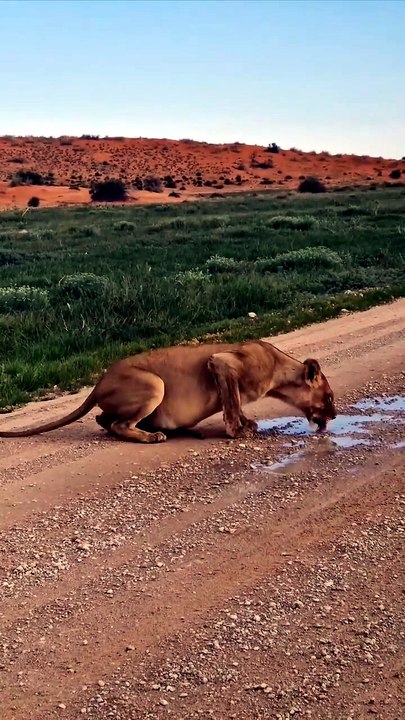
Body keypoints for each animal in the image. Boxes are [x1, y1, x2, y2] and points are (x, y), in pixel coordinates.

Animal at [0, 340, 336, 442]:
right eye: (330, 397)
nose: (335, 414)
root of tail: (98, 384)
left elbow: (237, 404)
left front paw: (247, 423)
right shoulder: (222, 362)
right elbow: (231, 403)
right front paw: (238, 431)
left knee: (103, 420)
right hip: (154, 384)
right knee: (118, 424)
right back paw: (153, 436)